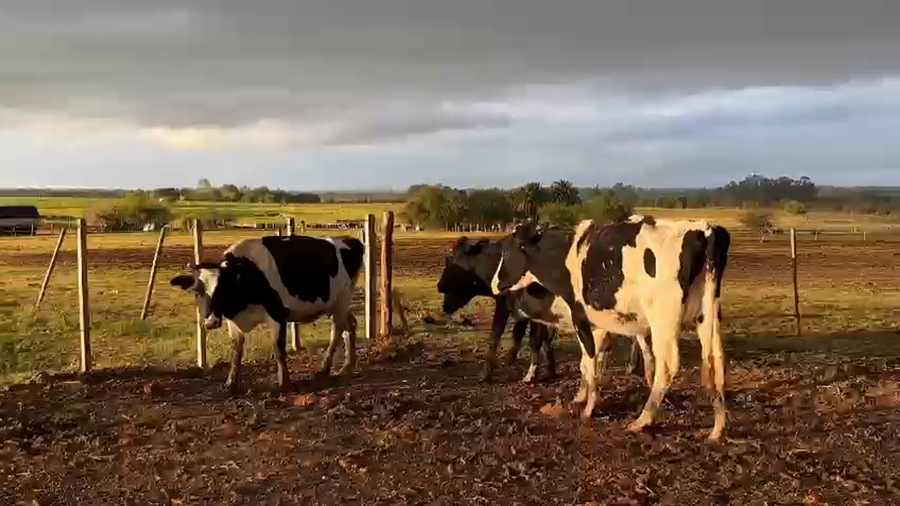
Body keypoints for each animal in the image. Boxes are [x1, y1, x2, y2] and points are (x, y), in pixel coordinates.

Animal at [170, 235, 365, 393]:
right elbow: (236, 351)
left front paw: (285, 384)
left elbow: (278, 350)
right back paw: (347, 367)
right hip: (335, 304)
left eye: (223, 289)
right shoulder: (234, 321)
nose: (209, 322)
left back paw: (325, 368)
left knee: (337, 331)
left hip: (342, 300)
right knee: (350, 325)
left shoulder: (277, 314)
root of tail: (348, 241)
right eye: (197, 292)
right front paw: (230, 384)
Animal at [438, 236, 654, 386]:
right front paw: (547, 369)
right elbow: (538, 338)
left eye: (452, 260)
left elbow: (498, 336)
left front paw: (488, 373)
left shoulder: (505, 304)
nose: (439, 286)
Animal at [490, 216, 730, 441]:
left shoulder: (580, 317)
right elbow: (587, 364)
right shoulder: (598, 324)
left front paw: (588, 408)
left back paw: (643, 419)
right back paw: (717, 429)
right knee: (716, 361)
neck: (566, 256)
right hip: (708, 315)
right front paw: (581, 397)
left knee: (667, 367)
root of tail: (704, 229)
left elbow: (589, 362)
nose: (494, 284)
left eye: (507, 252)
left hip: (663, 320)